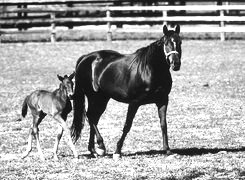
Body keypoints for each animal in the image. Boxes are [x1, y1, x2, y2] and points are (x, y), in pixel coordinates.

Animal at [71, 25, 182, 158]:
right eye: (166, 43)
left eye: (180, 42)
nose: (176, 64)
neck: (150, 69)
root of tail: (86, 57)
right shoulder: (134, 103)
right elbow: (127, 125)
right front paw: (117, 151)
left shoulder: (163, 100)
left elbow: (163, 125)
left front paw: (168, 150)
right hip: (94, 97)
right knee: (91, 117)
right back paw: (101, 146)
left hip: (102, 99)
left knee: (93, 118)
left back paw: (93, 149)